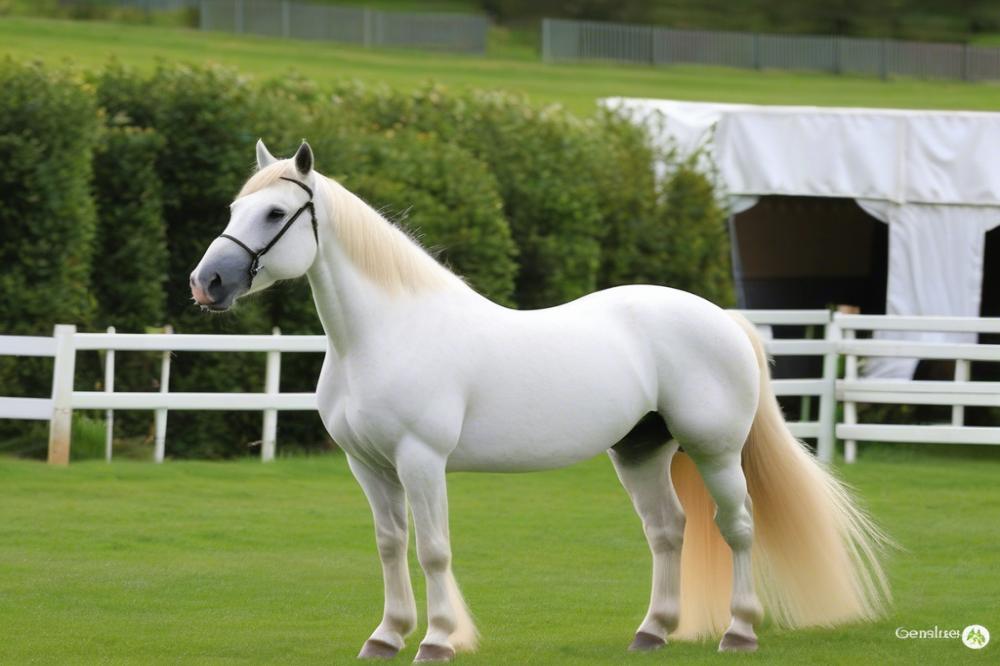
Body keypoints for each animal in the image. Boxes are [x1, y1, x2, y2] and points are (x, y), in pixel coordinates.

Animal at [189, 140, 892, 660]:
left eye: (274, 214)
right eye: (234, 207)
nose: (208, 282)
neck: (385, 334)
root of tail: (722, 318)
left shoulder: (421, 462)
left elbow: (433, 549)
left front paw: (438, 642)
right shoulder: (368, 466)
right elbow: (391, 545)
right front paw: (385, 638)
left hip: (715, 451)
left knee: (738, 526)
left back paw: (739, 632)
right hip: (640, 451)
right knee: (668, 530)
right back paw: (653, 631)